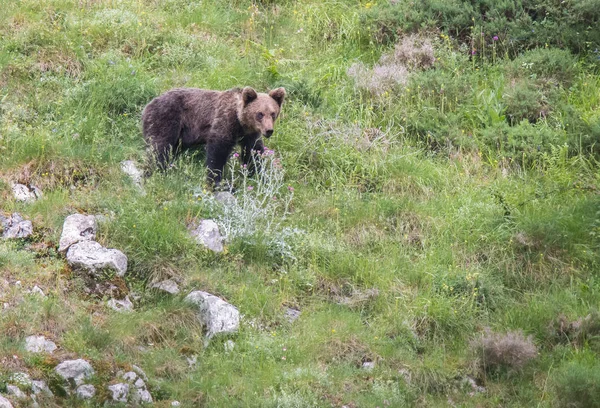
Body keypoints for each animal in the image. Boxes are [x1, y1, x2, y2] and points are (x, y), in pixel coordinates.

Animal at [144, 87, 288, 187]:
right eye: (260, 114)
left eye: (273, 113)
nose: (269, 130)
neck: (241, 123)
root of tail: (148, 105)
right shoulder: (224, 122)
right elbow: (218, 151)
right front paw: (216, 180)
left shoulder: (249, 134)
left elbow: (253, 152)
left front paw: (260, 175)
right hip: (167, 118)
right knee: (160, 146)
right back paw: (157, 169)